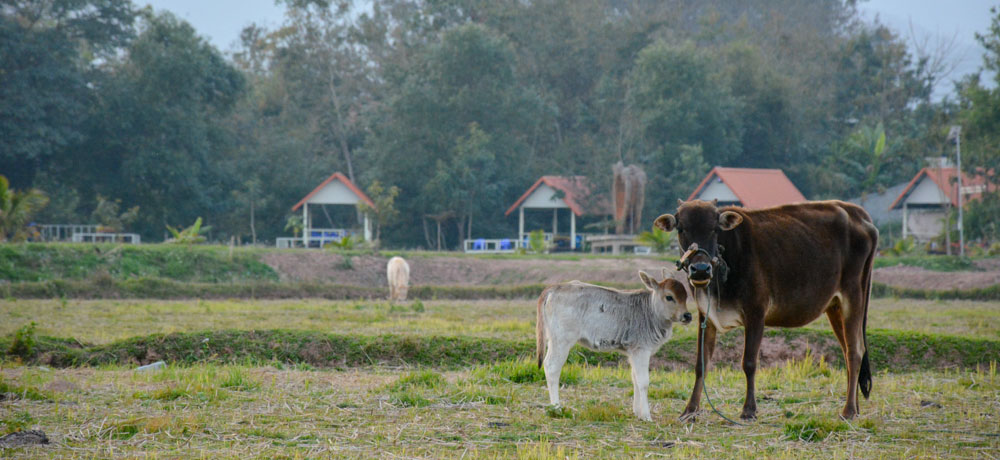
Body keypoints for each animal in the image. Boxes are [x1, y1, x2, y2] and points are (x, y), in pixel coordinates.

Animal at [536, 270, 692, 420]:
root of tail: (554, 287)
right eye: (669, 297)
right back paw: (556, 408)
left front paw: (637, 412)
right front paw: (647, 416)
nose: (687, 316)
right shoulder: (641, 350)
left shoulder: (632, 352)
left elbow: (635, 379)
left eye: (686, 296)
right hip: (562, 340)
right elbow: (643, 382)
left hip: (553, 339)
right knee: (552, 367)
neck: (651, 312)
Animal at [656, 199, 876, 420]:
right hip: (835, 306)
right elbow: (701, 364)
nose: (700, 269)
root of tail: (856, 212)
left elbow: (749, 362)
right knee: (848, 350)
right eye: (681, 228)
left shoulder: (756, 312)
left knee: (855, 352)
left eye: (715, 229)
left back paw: (848, 410)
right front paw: (690, 410)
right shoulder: (706, 316)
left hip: (853, 296)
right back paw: (855, 407)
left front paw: (749, 409)